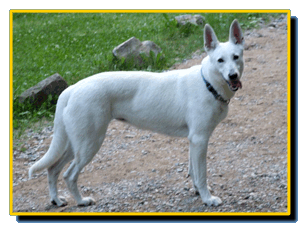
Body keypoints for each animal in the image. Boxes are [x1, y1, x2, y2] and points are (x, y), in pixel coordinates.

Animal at [28, 19, 244, 207]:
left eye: (236, 57)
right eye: (220, 60)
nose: (233, 76)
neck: (208, 82)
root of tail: (72, 88)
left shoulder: (194, 141)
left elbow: (194, 172)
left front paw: (198, 192)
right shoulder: (200, 139)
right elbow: (202, 175)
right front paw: (208, 199)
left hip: (76, 143)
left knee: (52, 169)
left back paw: (56, 200)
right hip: (89, 143)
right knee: (69, 175)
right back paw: (81, 201)